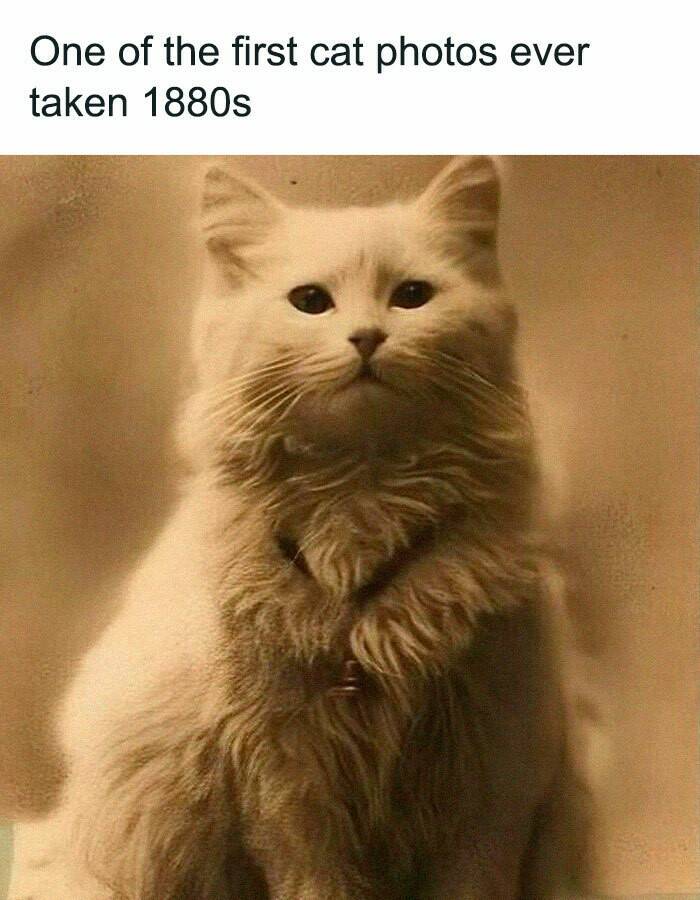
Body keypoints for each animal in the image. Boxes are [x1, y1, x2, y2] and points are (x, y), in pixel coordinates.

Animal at [10, 156, 563, 899]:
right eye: (310, 302)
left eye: (412, 296)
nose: (367, 338)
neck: (362, 499)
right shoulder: (284, 769)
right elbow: (314, 877)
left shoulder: (491, 753)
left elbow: (474, 876)